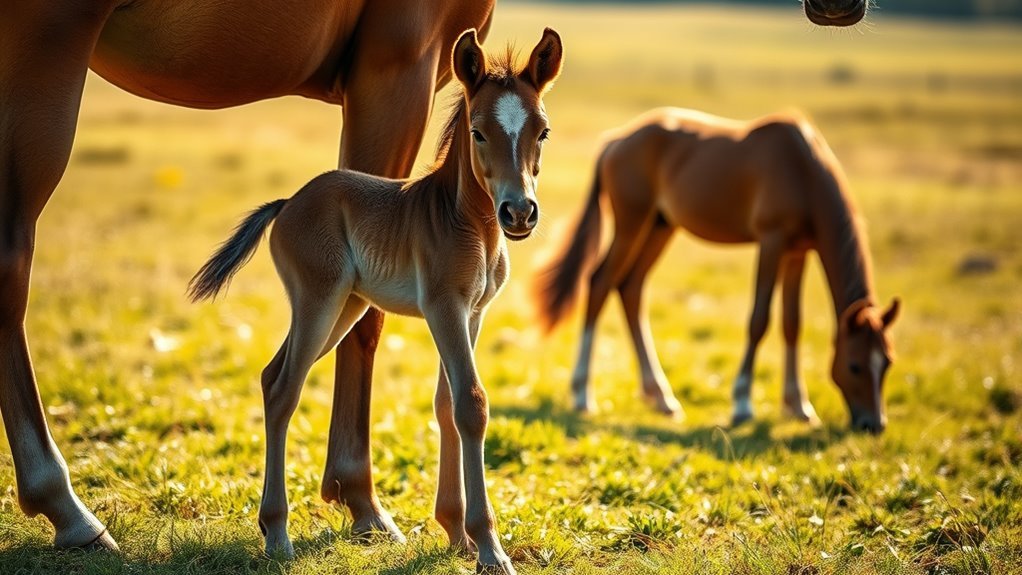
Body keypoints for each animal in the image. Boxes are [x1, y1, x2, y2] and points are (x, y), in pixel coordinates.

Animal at [188, 29, 562, 572]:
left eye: (542, 132)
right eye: (478, 132)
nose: (519, 212)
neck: (467, 222)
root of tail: (289, 203)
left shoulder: (473, 312)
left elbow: (447, 403)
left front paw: (457, 535)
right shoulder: (443, 307)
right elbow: (472, 404)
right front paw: (490, 548)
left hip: (345, 308)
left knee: (271, 375)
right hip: (319, 300)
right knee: (285, 389)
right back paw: (277, 535)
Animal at [535, 107, 899, 434]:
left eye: (887, 363)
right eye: (854, 365)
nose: (874, 424)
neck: (803, 171)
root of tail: (616, 141)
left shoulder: (798, 252)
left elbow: (792, 324)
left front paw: (799, 406)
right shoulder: (772, 241)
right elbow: (759, 320)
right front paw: (742, 403)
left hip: (660, 226)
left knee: (630, 288)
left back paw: (661, 397)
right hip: (632, 223)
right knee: (600, 283)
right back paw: (582, 393)